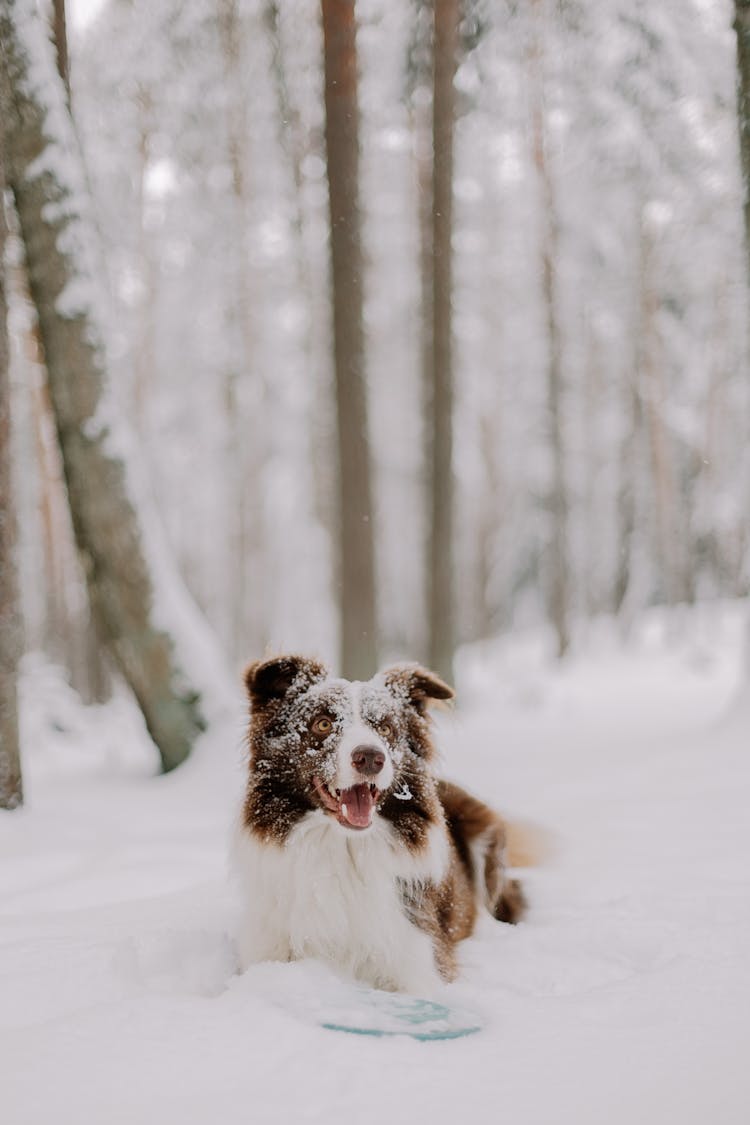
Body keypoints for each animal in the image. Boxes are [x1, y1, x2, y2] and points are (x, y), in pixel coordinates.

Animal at [231, 657, 526, 999]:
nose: (371, 757)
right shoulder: (267, 950)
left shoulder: (419, 962)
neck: (344, 848)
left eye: (385, 728)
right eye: (323, 723)